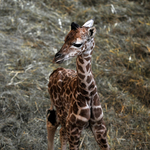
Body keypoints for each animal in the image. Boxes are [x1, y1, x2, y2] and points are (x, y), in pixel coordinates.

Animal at [46, 19, 110, 150]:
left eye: (77, 44)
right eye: (65, 39)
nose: (56, 58)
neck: (88, 93)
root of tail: (54, 73)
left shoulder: (100, 127)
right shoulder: (74, 128)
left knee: (57, 127)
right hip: (62, 113)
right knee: (57, 128)